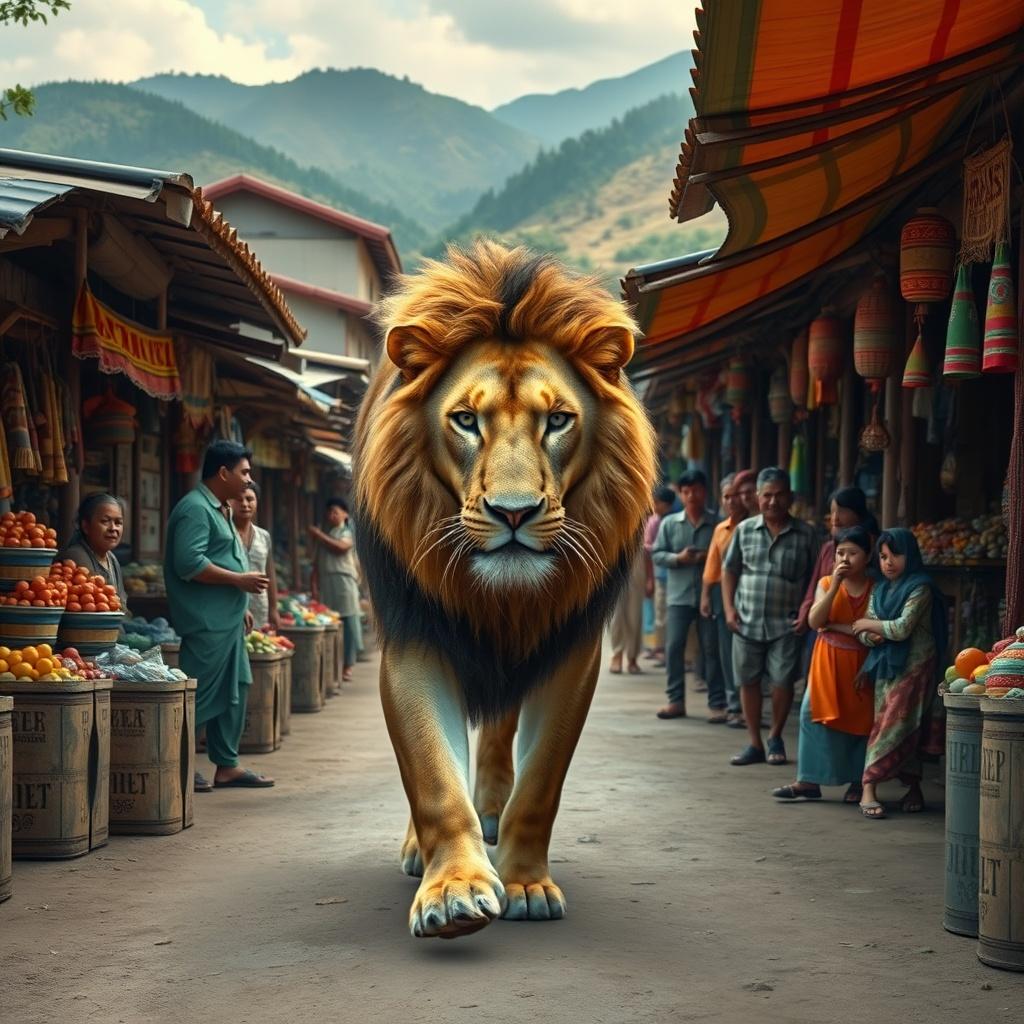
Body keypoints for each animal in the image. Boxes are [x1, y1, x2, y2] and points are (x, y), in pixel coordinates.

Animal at [354, 240, 656, 939]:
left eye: (559, 421)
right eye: (466, 420)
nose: (513, 513)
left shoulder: (573, 648)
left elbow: (541, 783)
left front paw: (524, 883)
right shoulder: (414, 637)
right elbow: (434, 775)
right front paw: (455, 892)